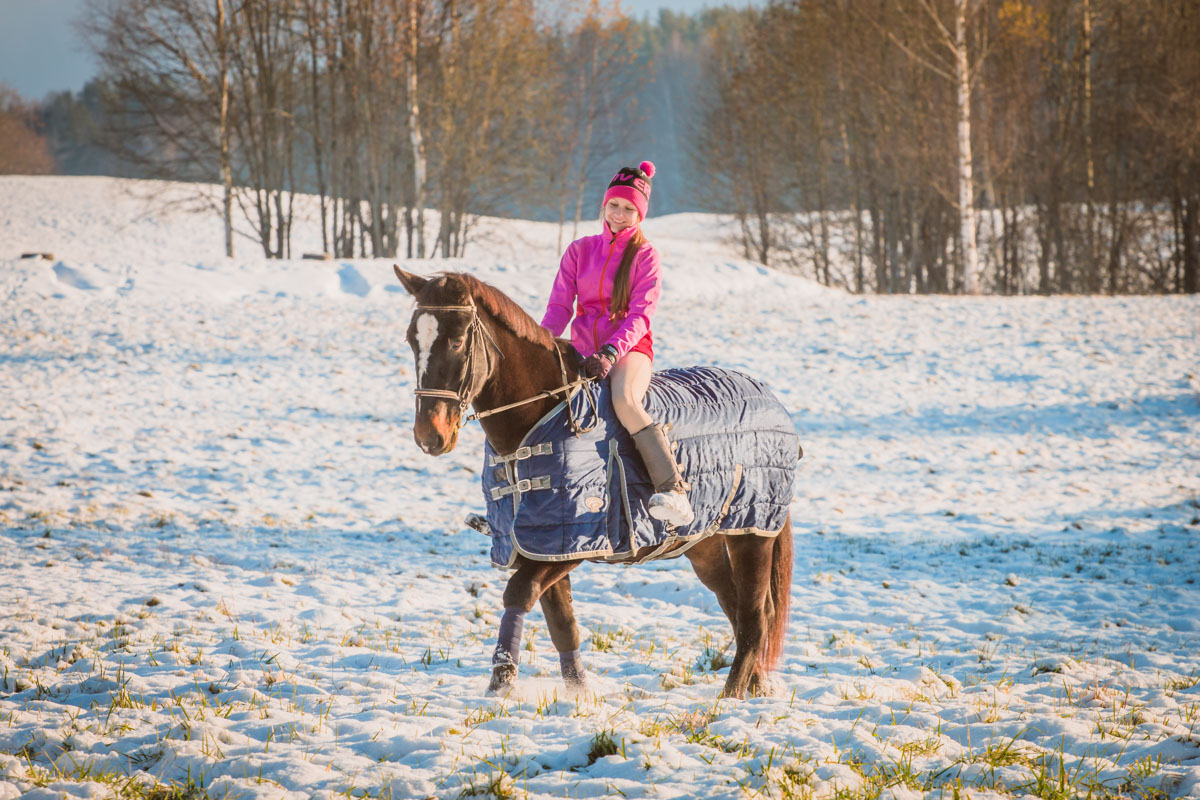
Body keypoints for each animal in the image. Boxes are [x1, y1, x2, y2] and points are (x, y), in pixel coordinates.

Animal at [388, 266, 792, 695]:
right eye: (412, 339)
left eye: (459, 339)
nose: (429, 436)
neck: (540, 416)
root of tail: (770, 399)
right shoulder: (538, 545)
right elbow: (561, 621)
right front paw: (578, 694)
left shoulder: (574, 543)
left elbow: (519, 593)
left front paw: (500, 681)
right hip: (705, 542)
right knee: (734, 604)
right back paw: (754, 687)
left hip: (753, 533)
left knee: (755, 615)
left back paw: (729, 697)